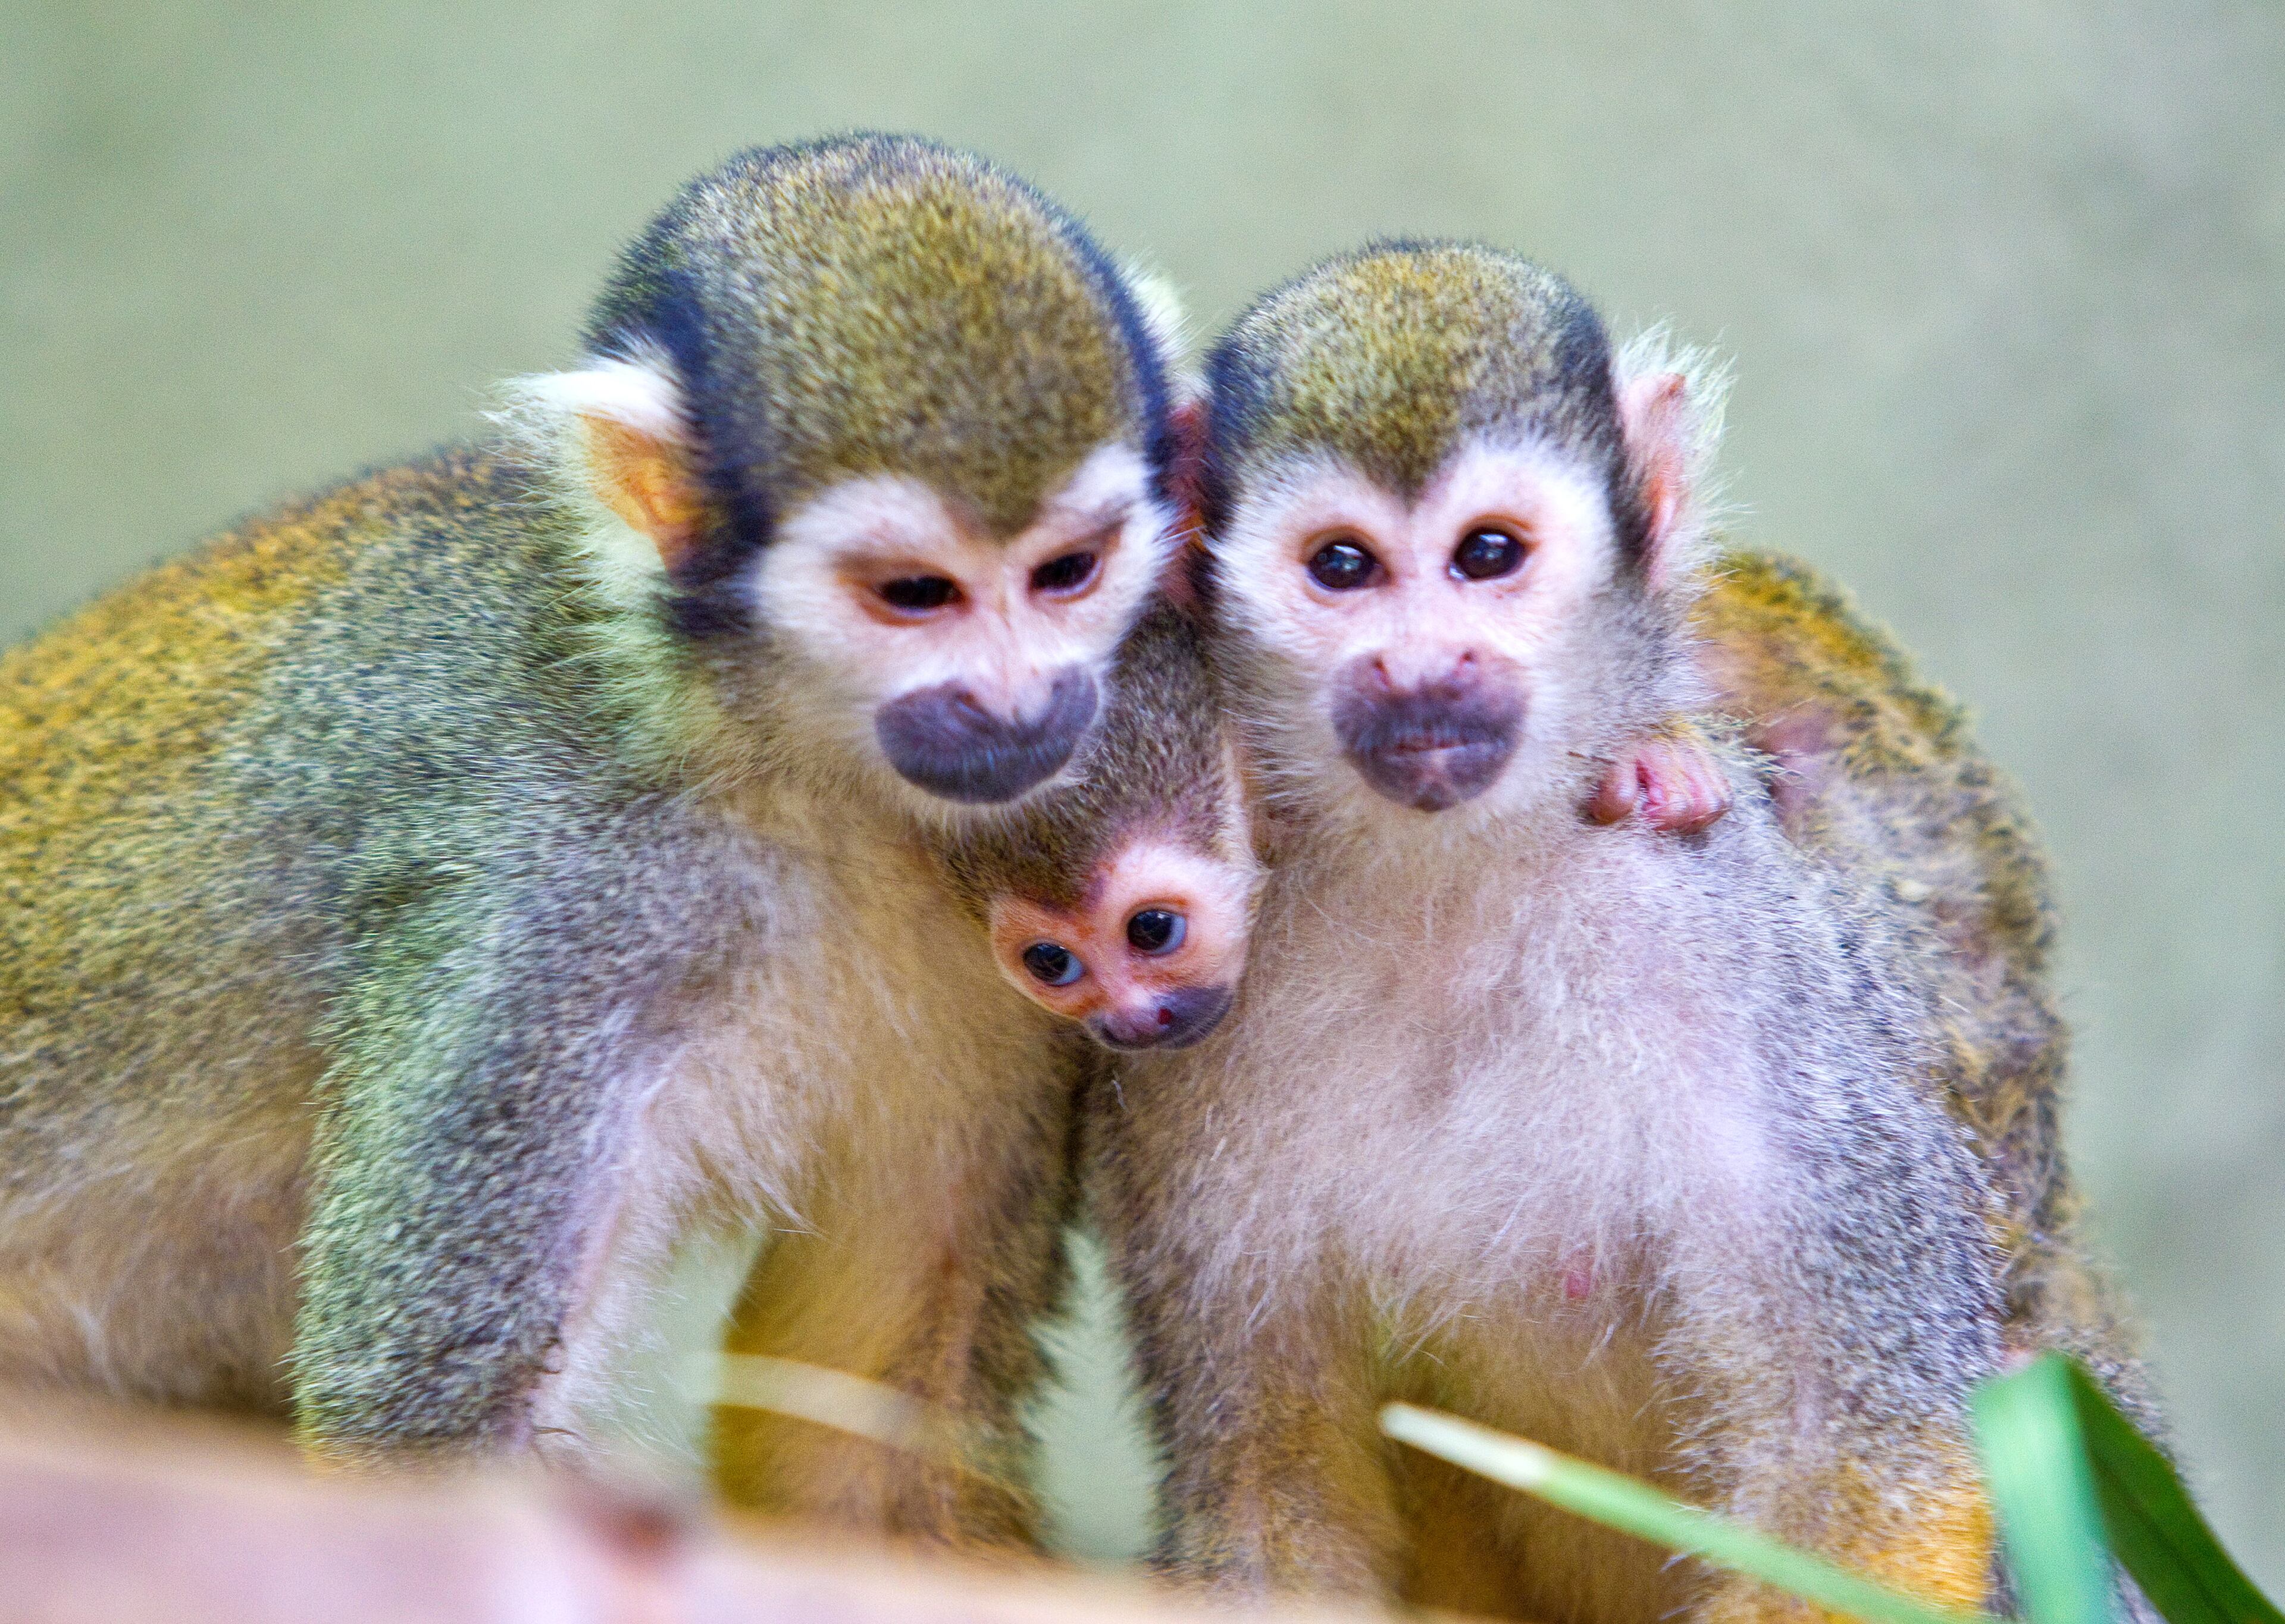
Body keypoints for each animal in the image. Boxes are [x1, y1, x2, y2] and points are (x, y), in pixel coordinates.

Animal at [0, 135, 1187, 1546]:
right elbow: (428, 1432)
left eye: (1069, 571)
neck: (781, 771)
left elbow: (860, 1440)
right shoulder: (550, 906)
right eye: (916, 595)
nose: (1025, 703)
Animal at [1080, 242, 2156, 1622]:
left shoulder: (1727, 937)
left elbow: (1860, 1461)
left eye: (1488, 555)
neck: (1449, 884)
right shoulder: (1186, 1051)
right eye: (1343, 568)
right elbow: (1266, 1480)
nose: (1423, 671)